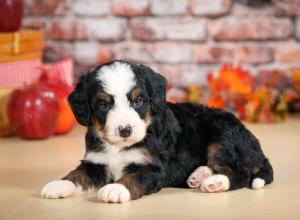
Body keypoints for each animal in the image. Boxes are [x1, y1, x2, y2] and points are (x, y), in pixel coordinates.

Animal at [41, 60, 274, 203]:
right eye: (103, 105)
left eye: (138, 101)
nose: (125, 130)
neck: (118, 147)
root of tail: (258, 149)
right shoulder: (95, 162)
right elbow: (77, 174)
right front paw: (58, 185)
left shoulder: (152, 168)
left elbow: (133, 177)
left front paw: (116, 189)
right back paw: (199, 175)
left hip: (222, 135)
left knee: (241, 173)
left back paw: (214, 182)